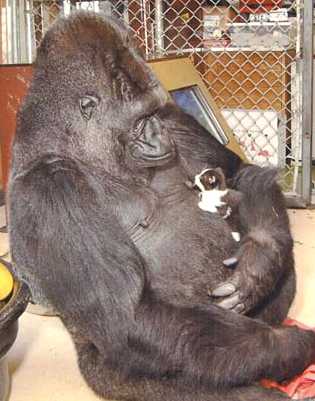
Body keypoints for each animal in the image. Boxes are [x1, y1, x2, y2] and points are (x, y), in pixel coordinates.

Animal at [7, 10, 315, 400]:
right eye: (140, 121)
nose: (160, 136)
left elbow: (239, 173)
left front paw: (258, 262)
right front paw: (295, 346)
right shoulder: (49, 189)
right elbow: (132, 318)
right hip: (112, 376)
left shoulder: (173, 114)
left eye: (154, 112)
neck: (75, 147)